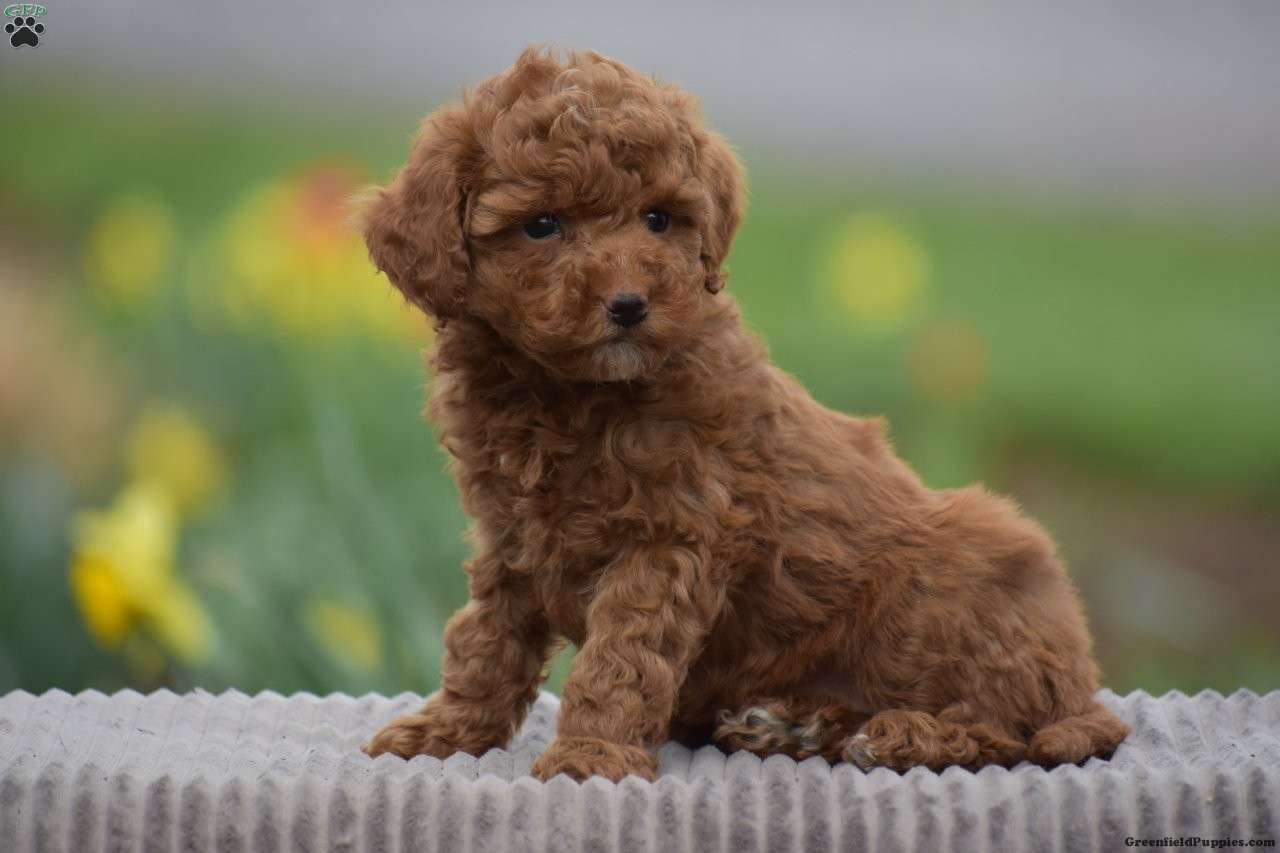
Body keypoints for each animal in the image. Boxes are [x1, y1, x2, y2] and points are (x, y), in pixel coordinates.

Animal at [359, 47, 1129, 782]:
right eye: (541, 225)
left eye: (658, 218)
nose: (631, 304)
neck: (568, 392)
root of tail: (1080, 681)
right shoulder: (511, 538)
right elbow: (486, 639)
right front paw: (448, 730)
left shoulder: (670, 537)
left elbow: (620, 658)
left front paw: (590, 755)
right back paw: (792, 724)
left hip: (969, 573)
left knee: (1009, 729)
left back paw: (901, 733)